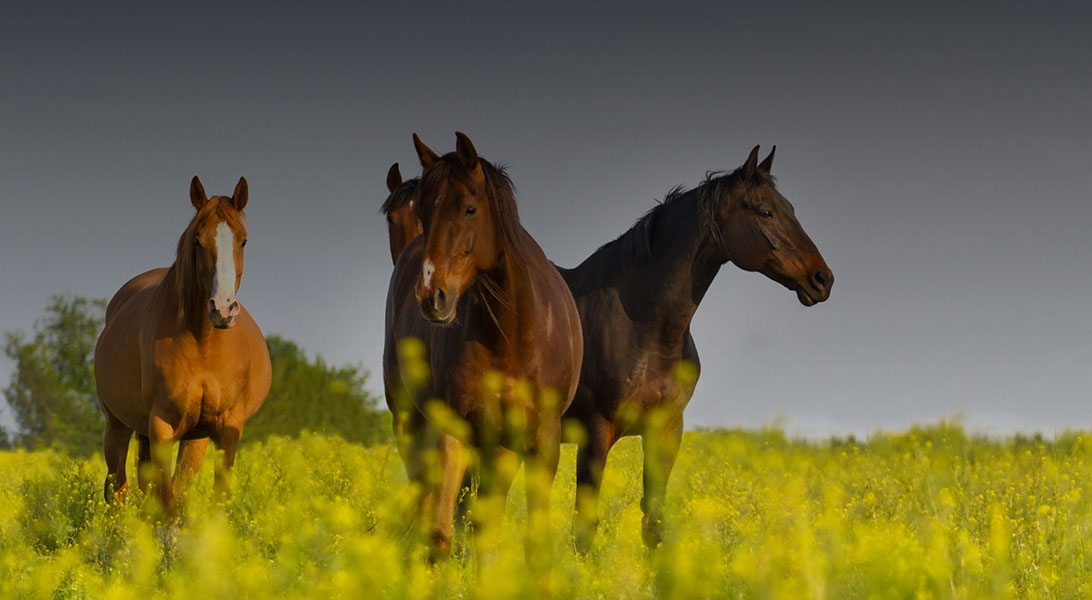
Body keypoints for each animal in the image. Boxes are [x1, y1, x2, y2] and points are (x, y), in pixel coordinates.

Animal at [96, 175, 270, 507]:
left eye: (242, 241)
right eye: (197, 241)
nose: (222, 309)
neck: (204, 343)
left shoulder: (226, 430)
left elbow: (207, 496)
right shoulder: (162, 427)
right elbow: (166, 502)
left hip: (193, 436)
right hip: (118, 425)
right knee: (117, 486)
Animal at [386, 131, 589, 557]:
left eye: (469, 209)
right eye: (425, 213)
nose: (432, 296)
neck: (512, 334)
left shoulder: (543, 440)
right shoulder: (453, 430)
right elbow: (442, 532)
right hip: (411, 421)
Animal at [563, 145, 834, 546]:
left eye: (791, 208)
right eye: (766, 211)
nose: (822, 279)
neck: (642, 328)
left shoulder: (666, 432)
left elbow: (654, 522)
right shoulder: (595, 432)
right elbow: (584, 527)